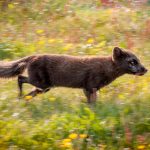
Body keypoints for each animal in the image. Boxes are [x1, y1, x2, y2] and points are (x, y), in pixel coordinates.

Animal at [0, 47, 147, 103]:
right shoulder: (89, 87)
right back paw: (19, 96)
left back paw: (21, 99)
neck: (106, 68)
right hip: (42, 83)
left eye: (138, 60)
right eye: (132, 61)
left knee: (29, 92)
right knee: (20, 78)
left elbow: (92, 103)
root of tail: (33, 56)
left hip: (43, 88)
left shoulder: (90, 89)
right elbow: (92, 103)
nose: (145, 70)